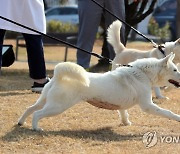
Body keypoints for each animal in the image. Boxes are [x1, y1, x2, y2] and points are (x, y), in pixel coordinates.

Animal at [17, 53, 179, 131]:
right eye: (175, 70)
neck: (141, 73)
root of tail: (58, 76)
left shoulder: (122, 105)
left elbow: (123, 113)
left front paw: (126, 122)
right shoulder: (148, 106)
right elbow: (167, 113)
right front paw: (177, 118)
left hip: (45, 101)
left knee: (30, 108)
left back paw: (21, 122)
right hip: (57, 107)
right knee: (37, 114)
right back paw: (36, 128)